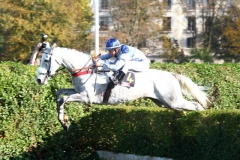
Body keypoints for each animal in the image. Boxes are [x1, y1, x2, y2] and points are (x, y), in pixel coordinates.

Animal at [36, 43, 210, 130]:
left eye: (46, 60)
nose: (38, 80)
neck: (86, 69)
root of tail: (172, 75)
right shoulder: (77, 91)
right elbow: (60, 94)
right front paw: (63, 121)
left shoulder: (87, 97)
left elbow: (64, 98)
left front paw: (64, 121)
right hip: (165, 103)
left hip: (173, 100)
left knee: (196, 106)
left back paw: (202, 121)